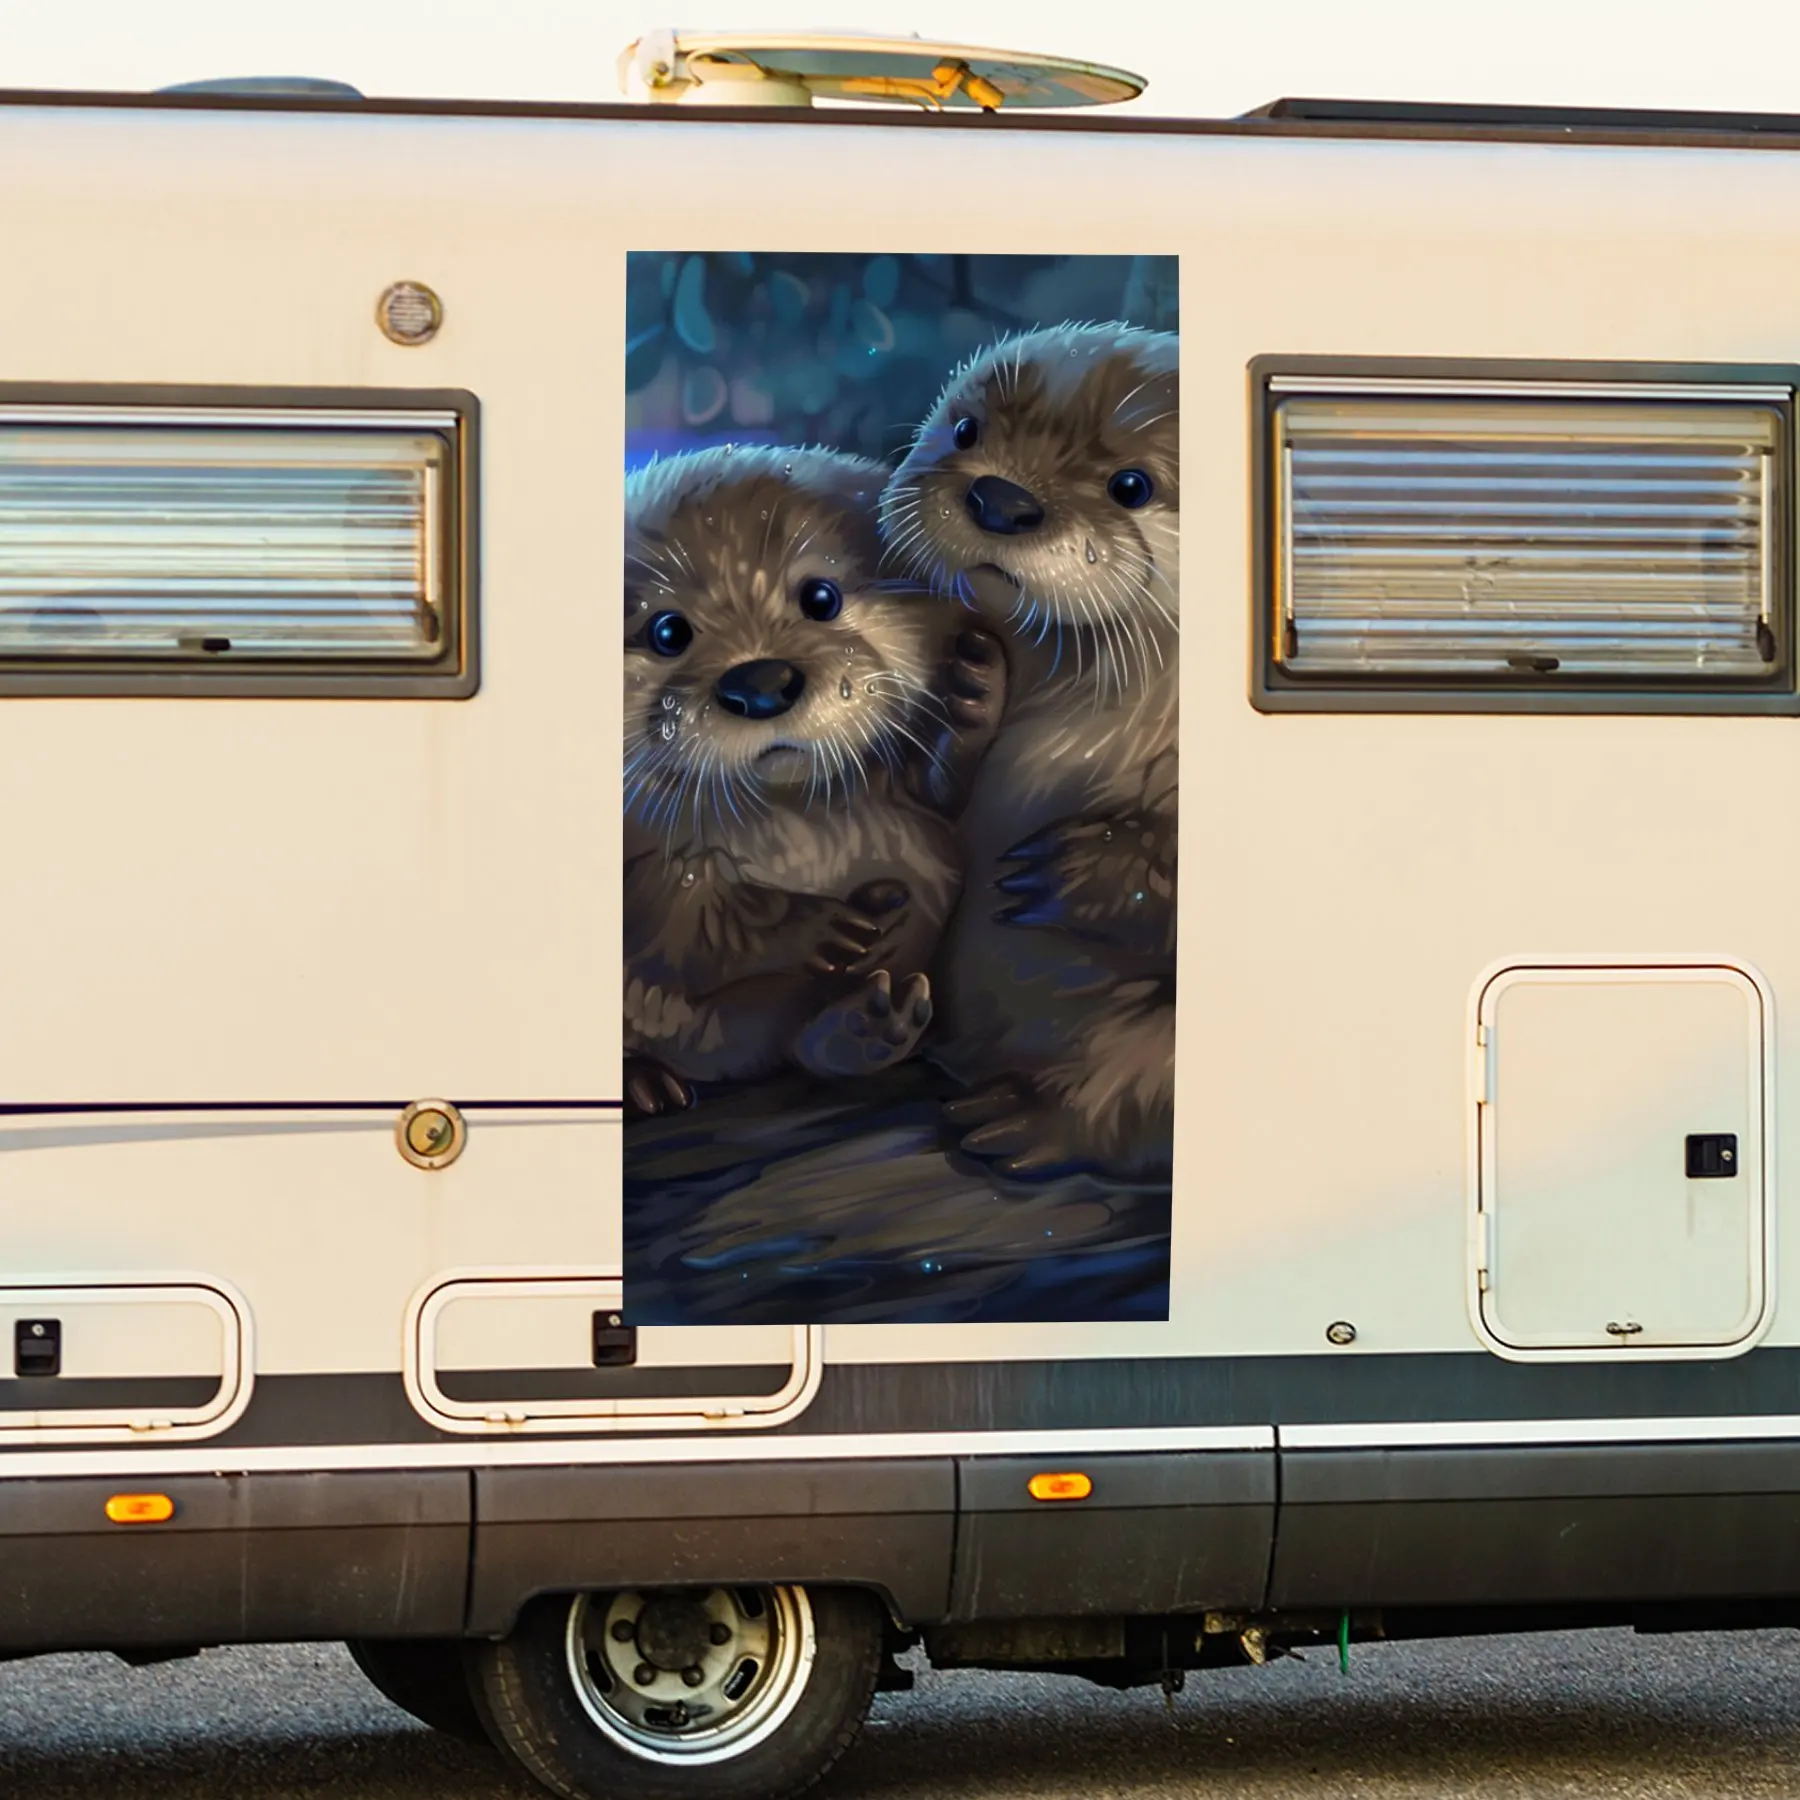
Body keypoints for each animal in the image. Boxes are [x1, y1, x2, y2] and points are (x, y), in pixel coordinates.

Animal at [623, 443, 1004, 1121]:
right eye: (667, 632)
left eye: (821, 597)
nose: (759, 683)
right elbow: (673, 910)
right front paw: (814, 928)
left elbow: (941, 795)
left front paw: (971, 695)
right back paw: (644, 1081)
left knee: (795, 1041)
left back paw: (867, 1027)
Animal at [881, 321, 1179, 1183]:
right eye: (967, 430)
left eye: (1131, 485)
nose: (1002, 499)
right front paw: (971, 693)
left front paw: (1082, 868)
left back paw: (1018, 1122)